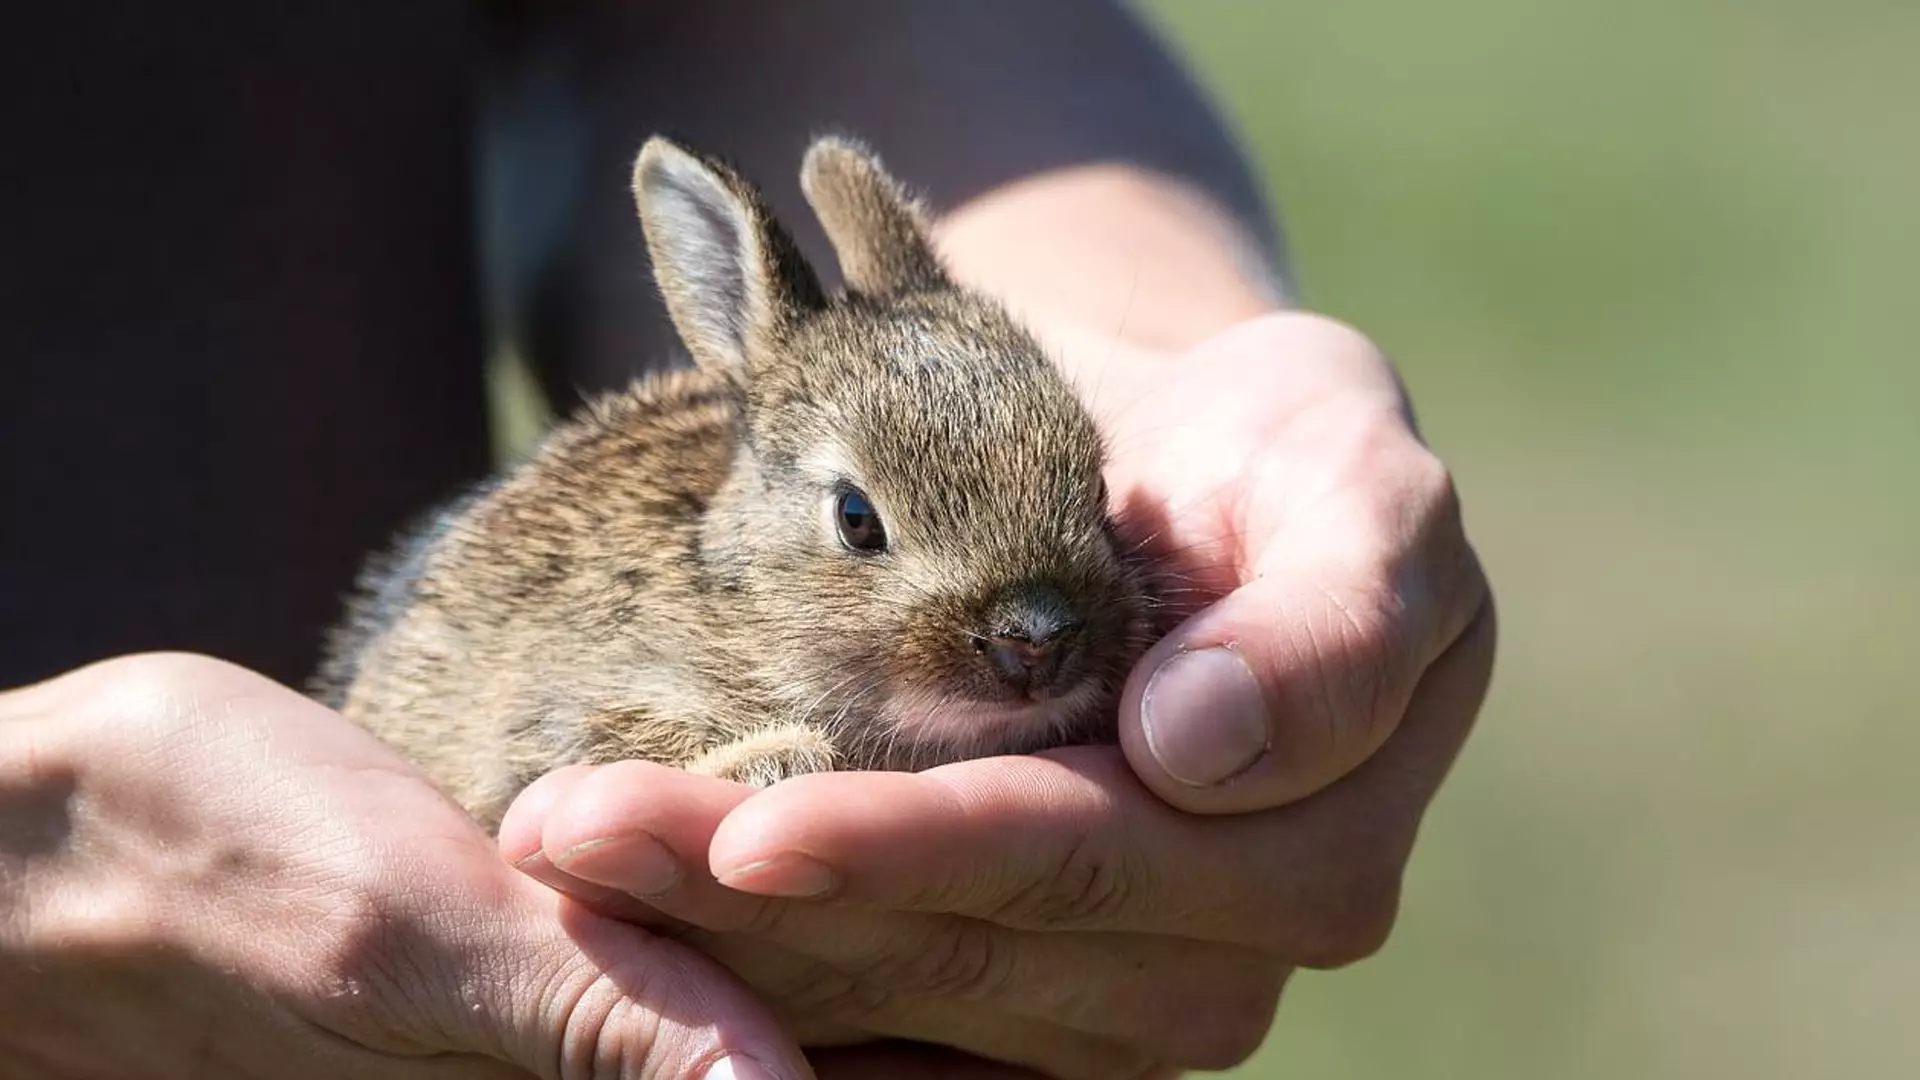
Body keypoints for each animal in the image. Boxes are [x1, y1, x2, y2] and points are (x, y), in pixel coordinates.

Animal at [314, 134, 1157, 832]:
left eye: (1098, 489)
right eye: (856, 518)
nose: (1037, 638)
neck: (743, 602)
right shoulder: (554, 718)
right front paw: (777, 759)